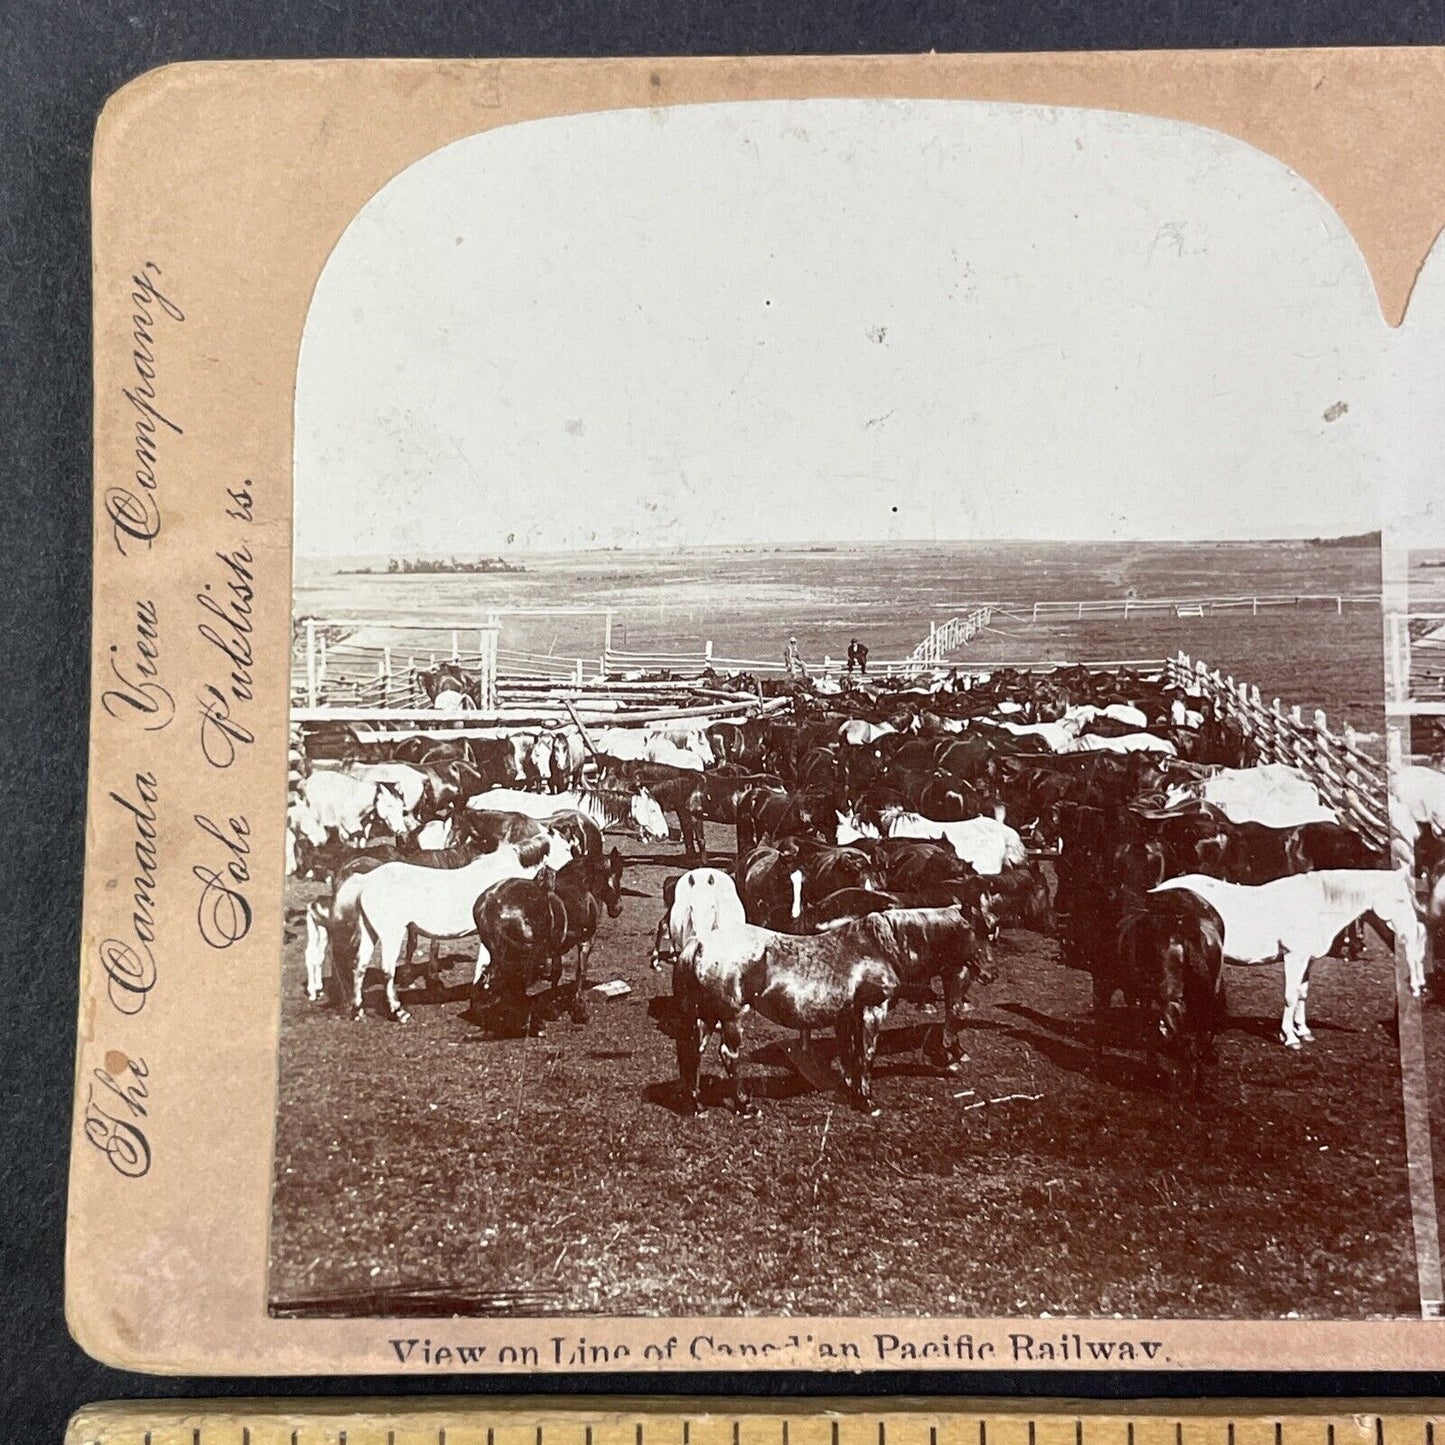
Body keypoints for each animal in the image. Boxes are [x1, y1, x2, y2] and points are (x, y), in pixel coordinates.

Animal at [330, 843, 549, 1023]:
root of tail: (365, 878)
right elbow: (487, 966)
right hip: (391, 934)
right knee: (387, 970)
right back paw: (398, 1011)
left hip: (369, 931)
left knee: (359, 966)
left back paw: (357, 1011)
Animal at [1150, 867, 1421, 1051]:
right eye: (1400, 899)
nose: (1412, 932)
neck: (1314, 904)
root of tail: (1157, 891)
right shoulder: (1294, 957)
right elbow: (1290, 996)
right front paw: (1289, 1038)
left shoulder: (1307, 960)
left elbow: (1302, 994)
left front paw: (1303, 1031)